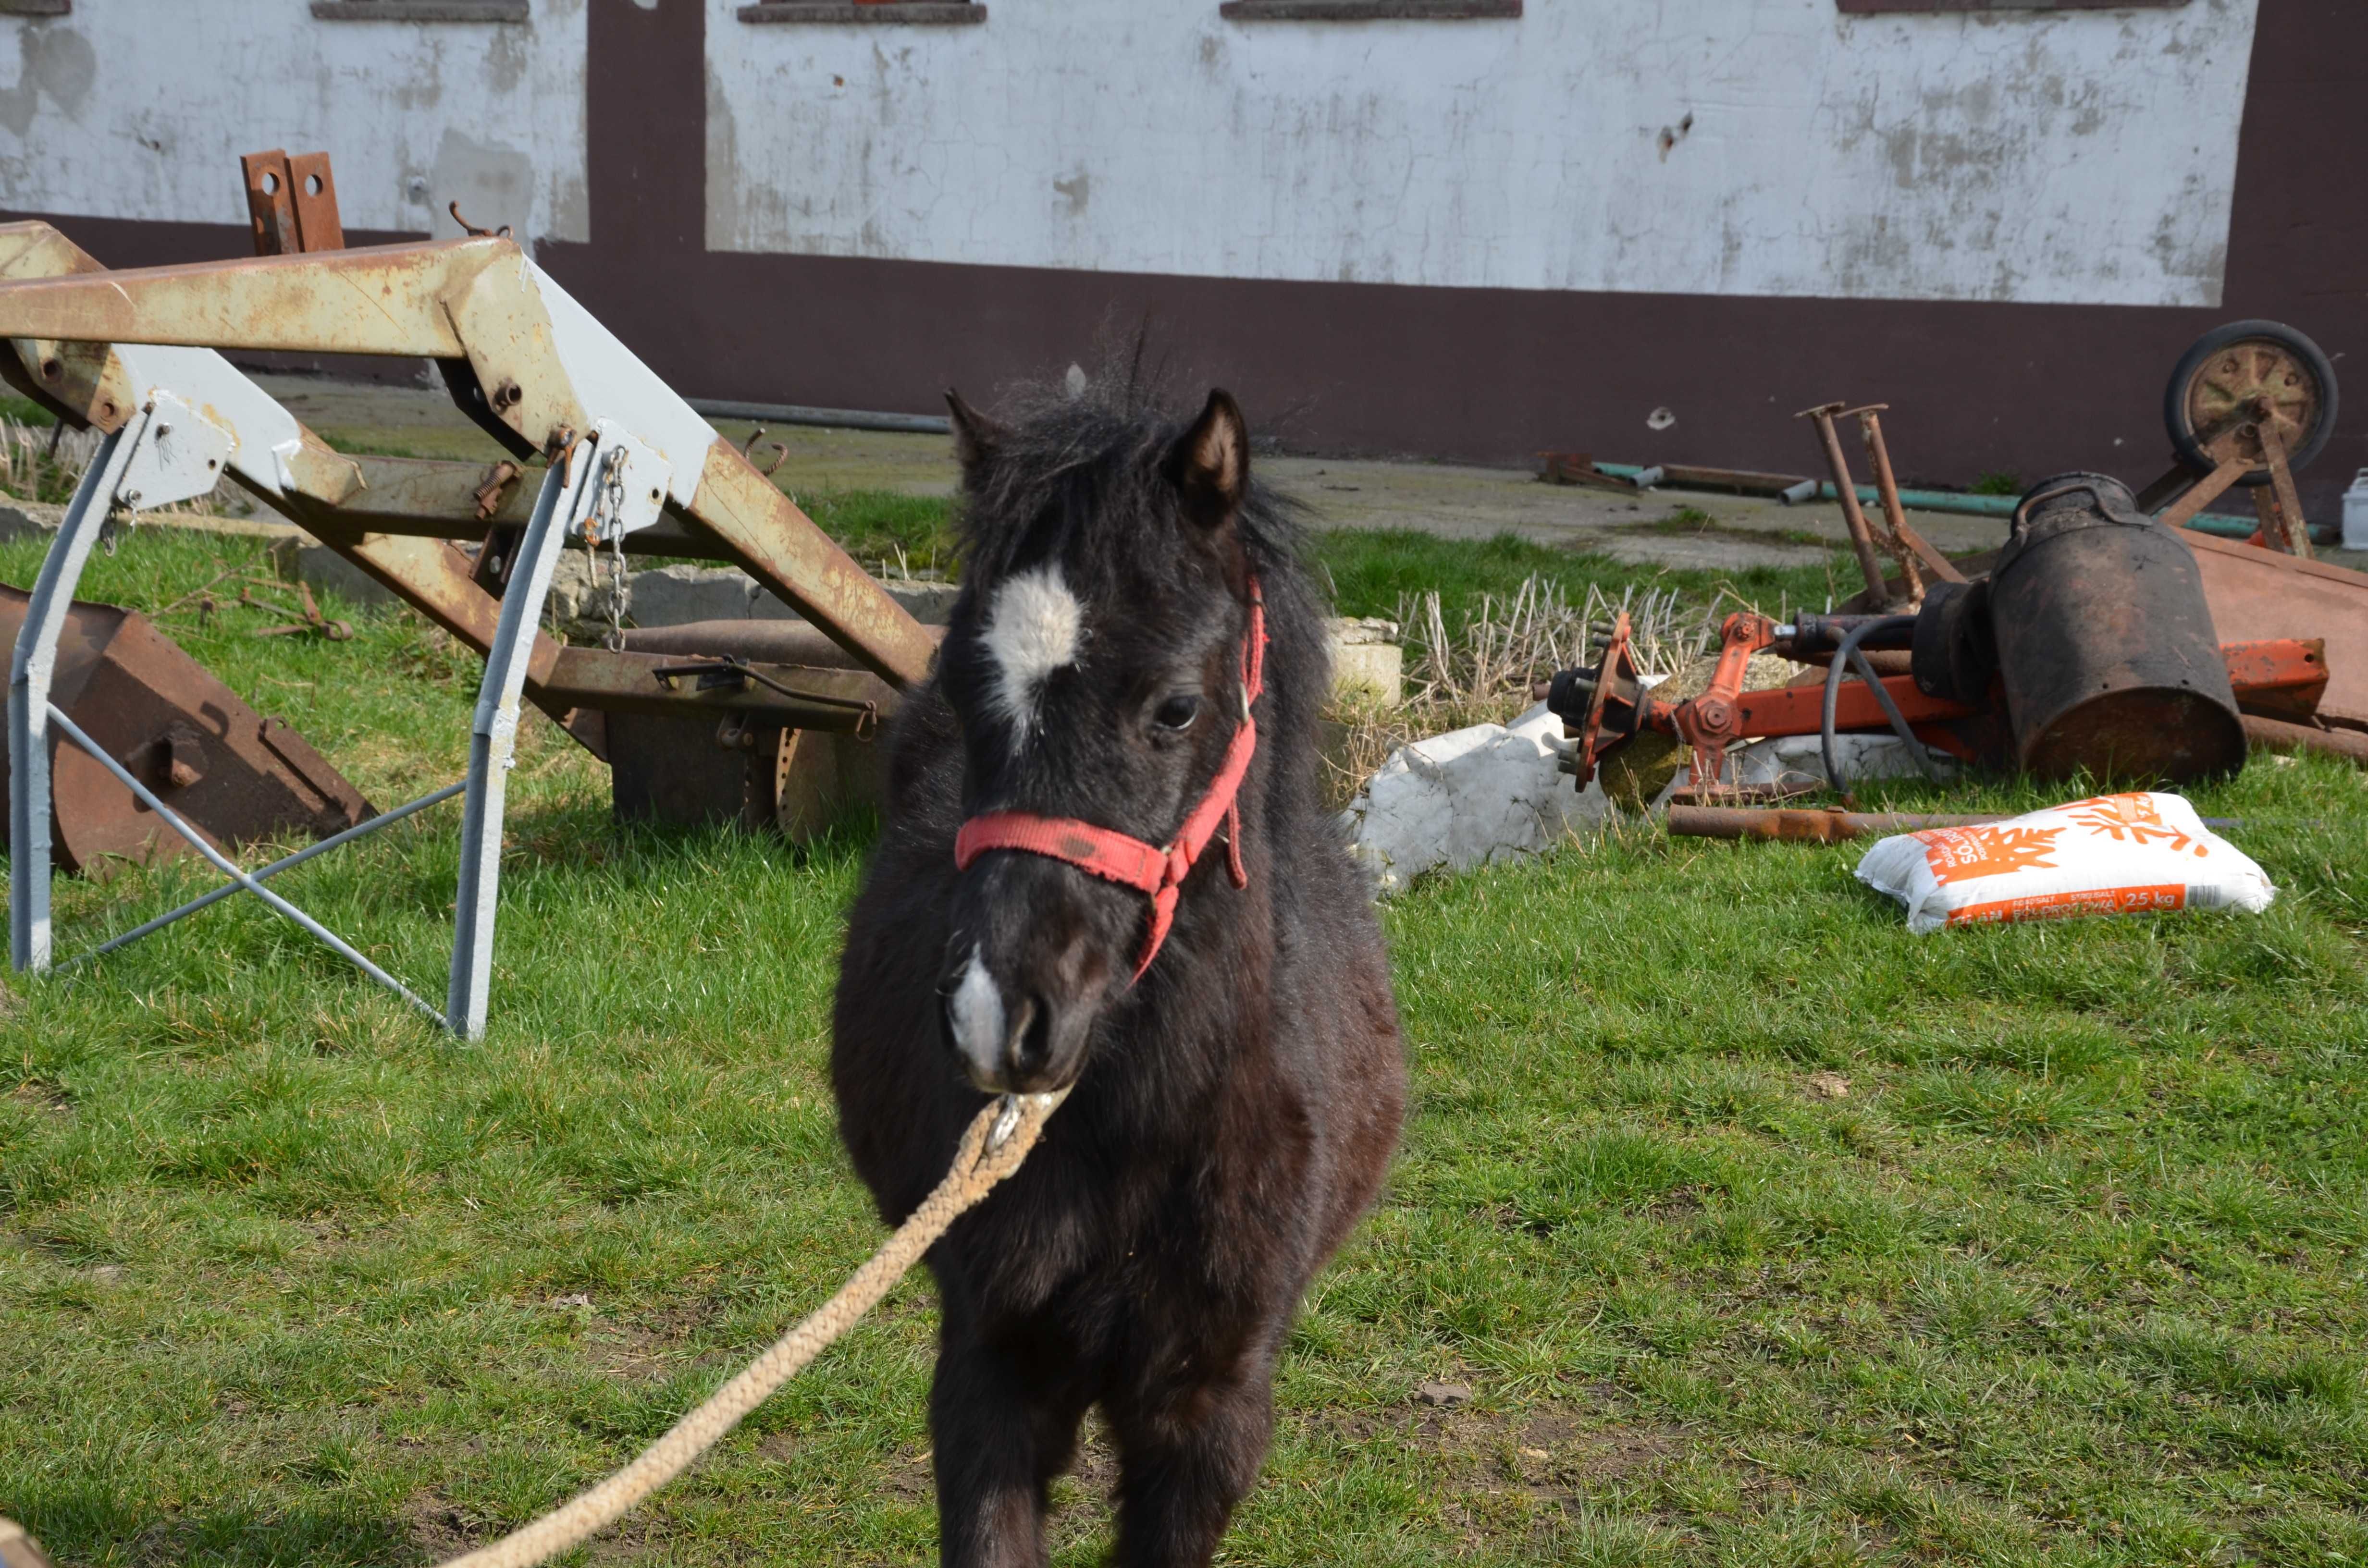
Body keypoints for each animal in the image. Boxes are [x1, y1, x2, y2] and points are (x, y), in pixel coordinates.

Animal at [833, 374, 1402, 1563]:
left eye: (1175, 706)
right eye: (966, 689)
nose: (998, 1018)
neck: (1137, 1139)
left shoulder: (1208, 1411)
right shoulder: (992, 1377)